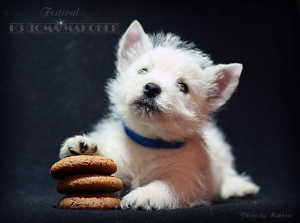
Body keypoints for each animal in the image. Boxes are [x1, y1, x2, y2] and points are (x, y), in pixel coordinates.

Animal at [59, 20, 260, 210]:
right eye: (143, 70)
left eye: (183, 87)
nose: (151, 88)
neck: (148, 142)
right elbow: (106, 165)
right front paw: (86, 147)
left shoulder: (185, 178)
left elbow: (165, 185)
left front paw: (143, 195)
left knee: (227, 173)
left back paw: (238, 186)